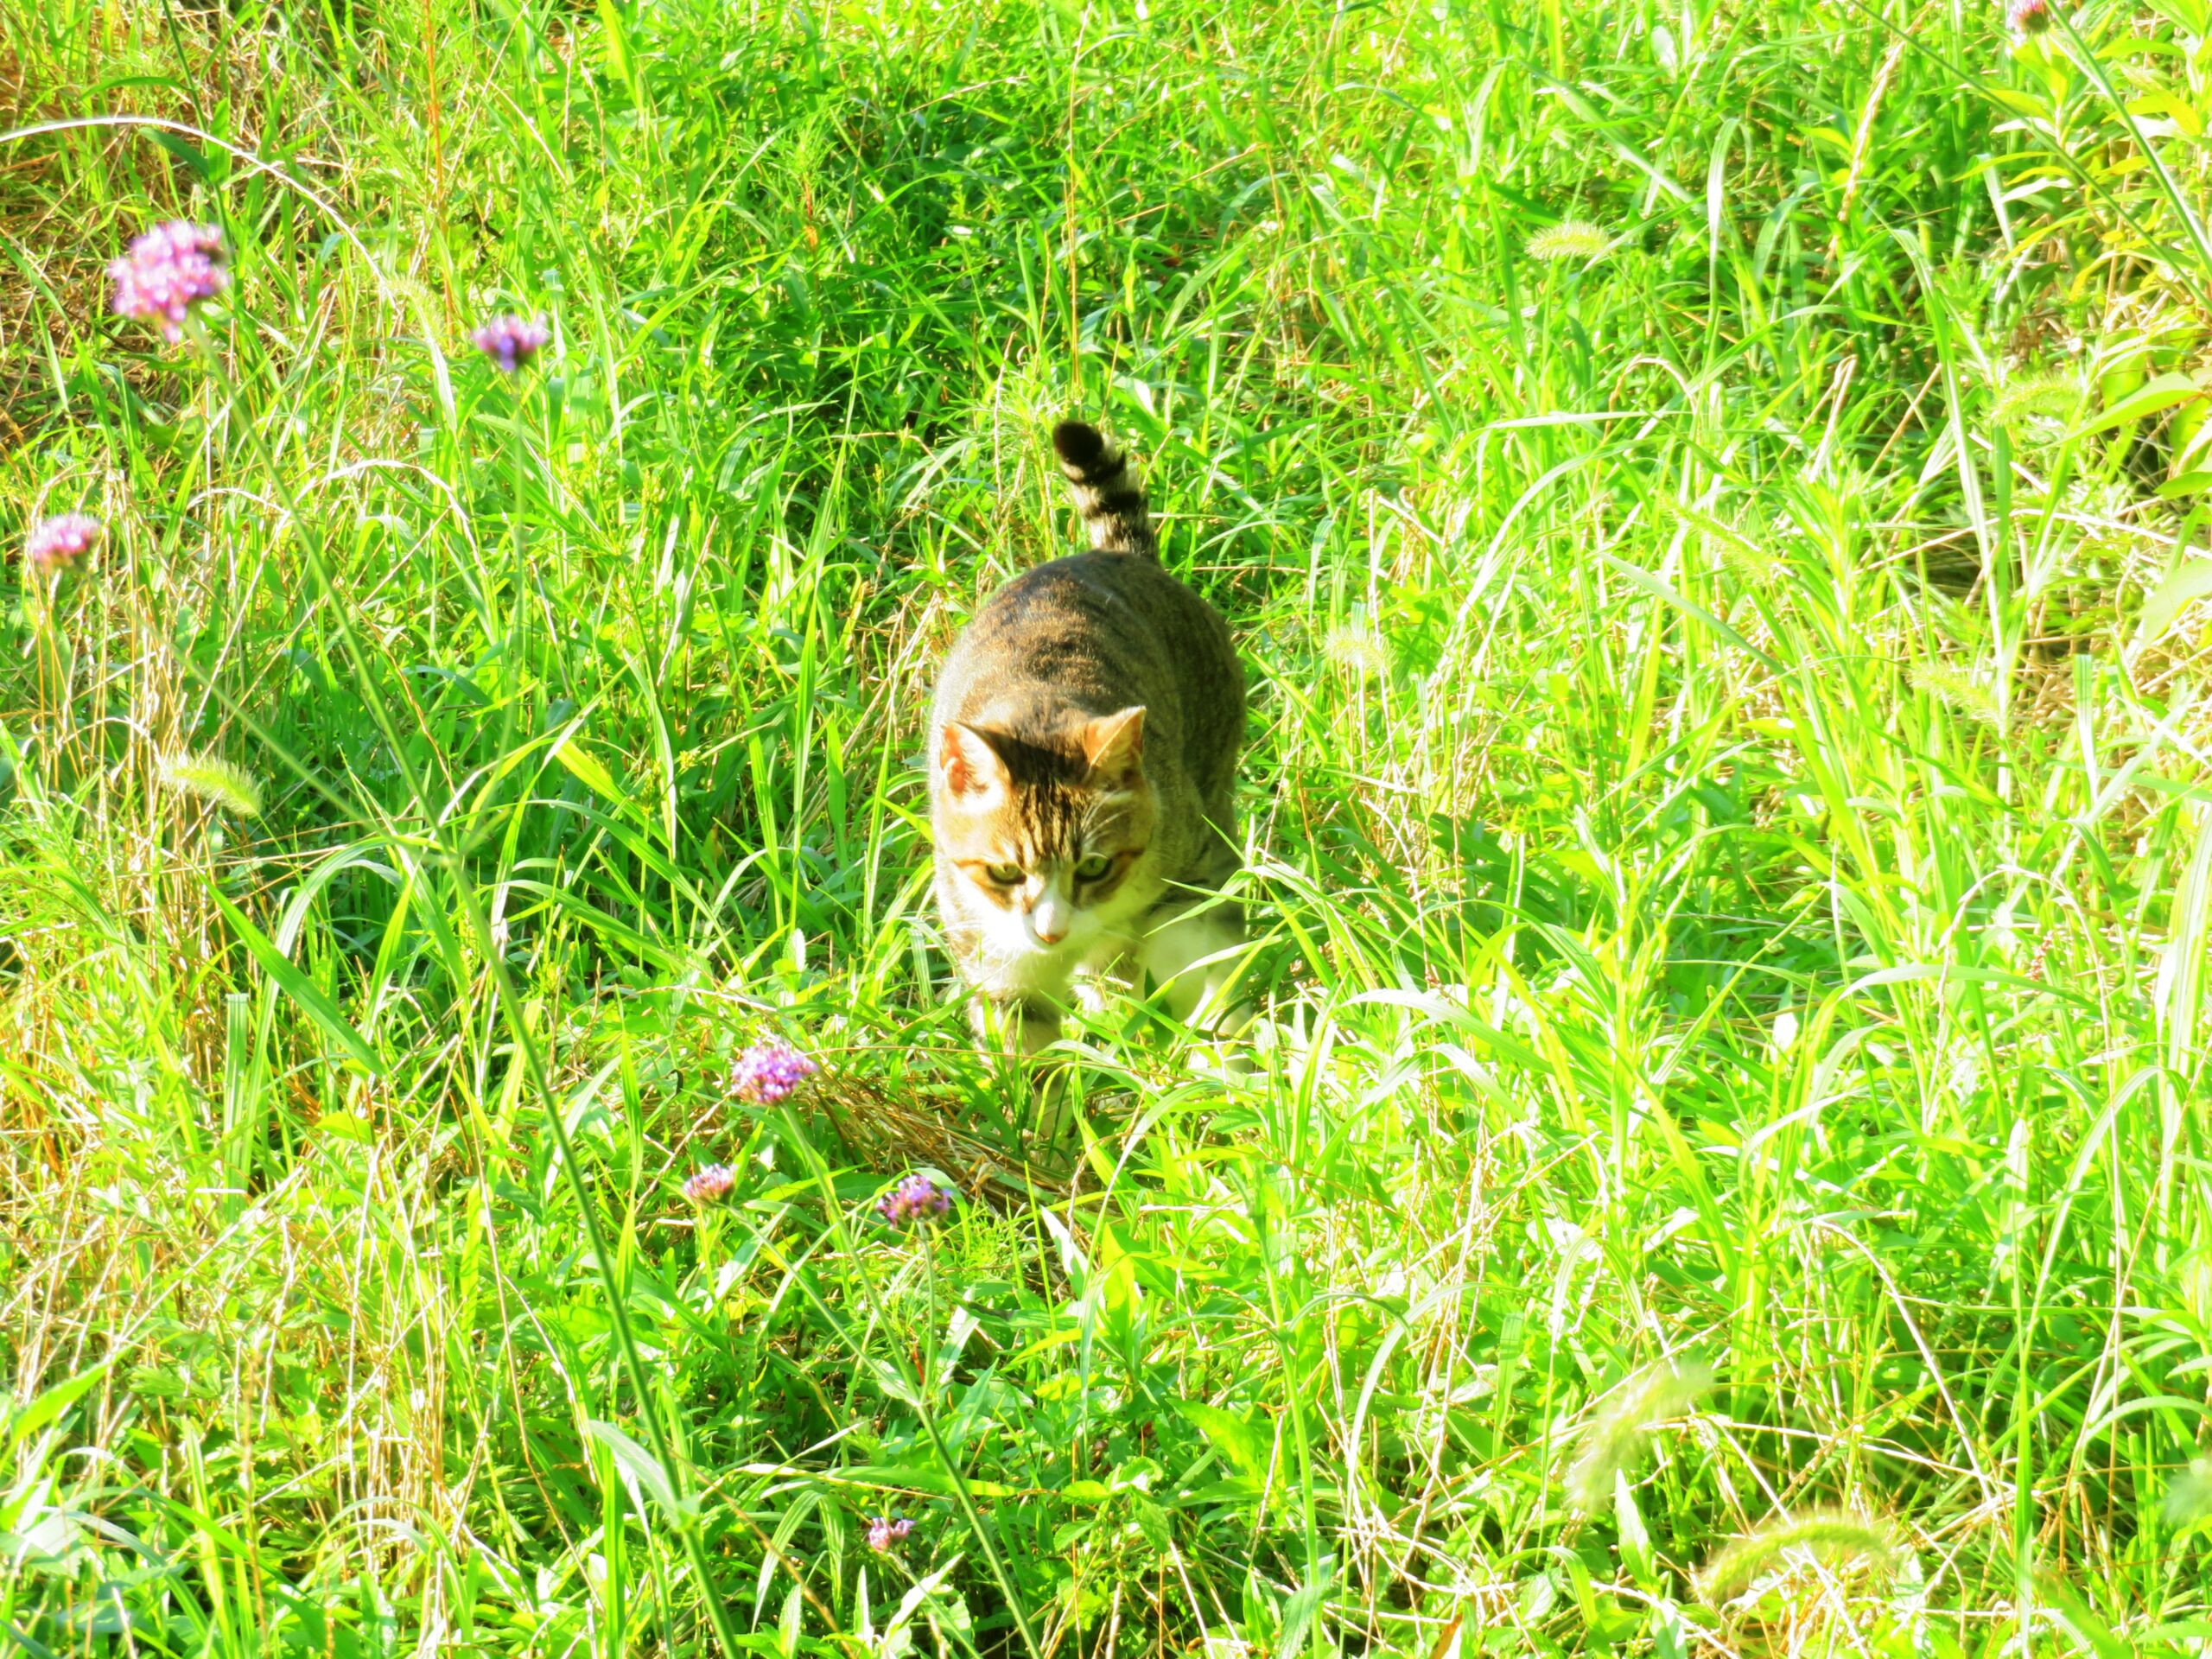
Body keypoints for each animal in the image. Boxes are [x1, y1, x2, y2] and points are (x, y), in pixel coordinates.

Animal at [929, 422, 1256, 1057]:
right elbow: (1026, 1056)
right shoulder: (999, 969)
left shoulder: (1189, 869)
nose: (1050, 931)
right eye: (1004, 873)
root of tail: (1113, 555)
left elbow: (1185, 952)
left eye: (1096, 867)